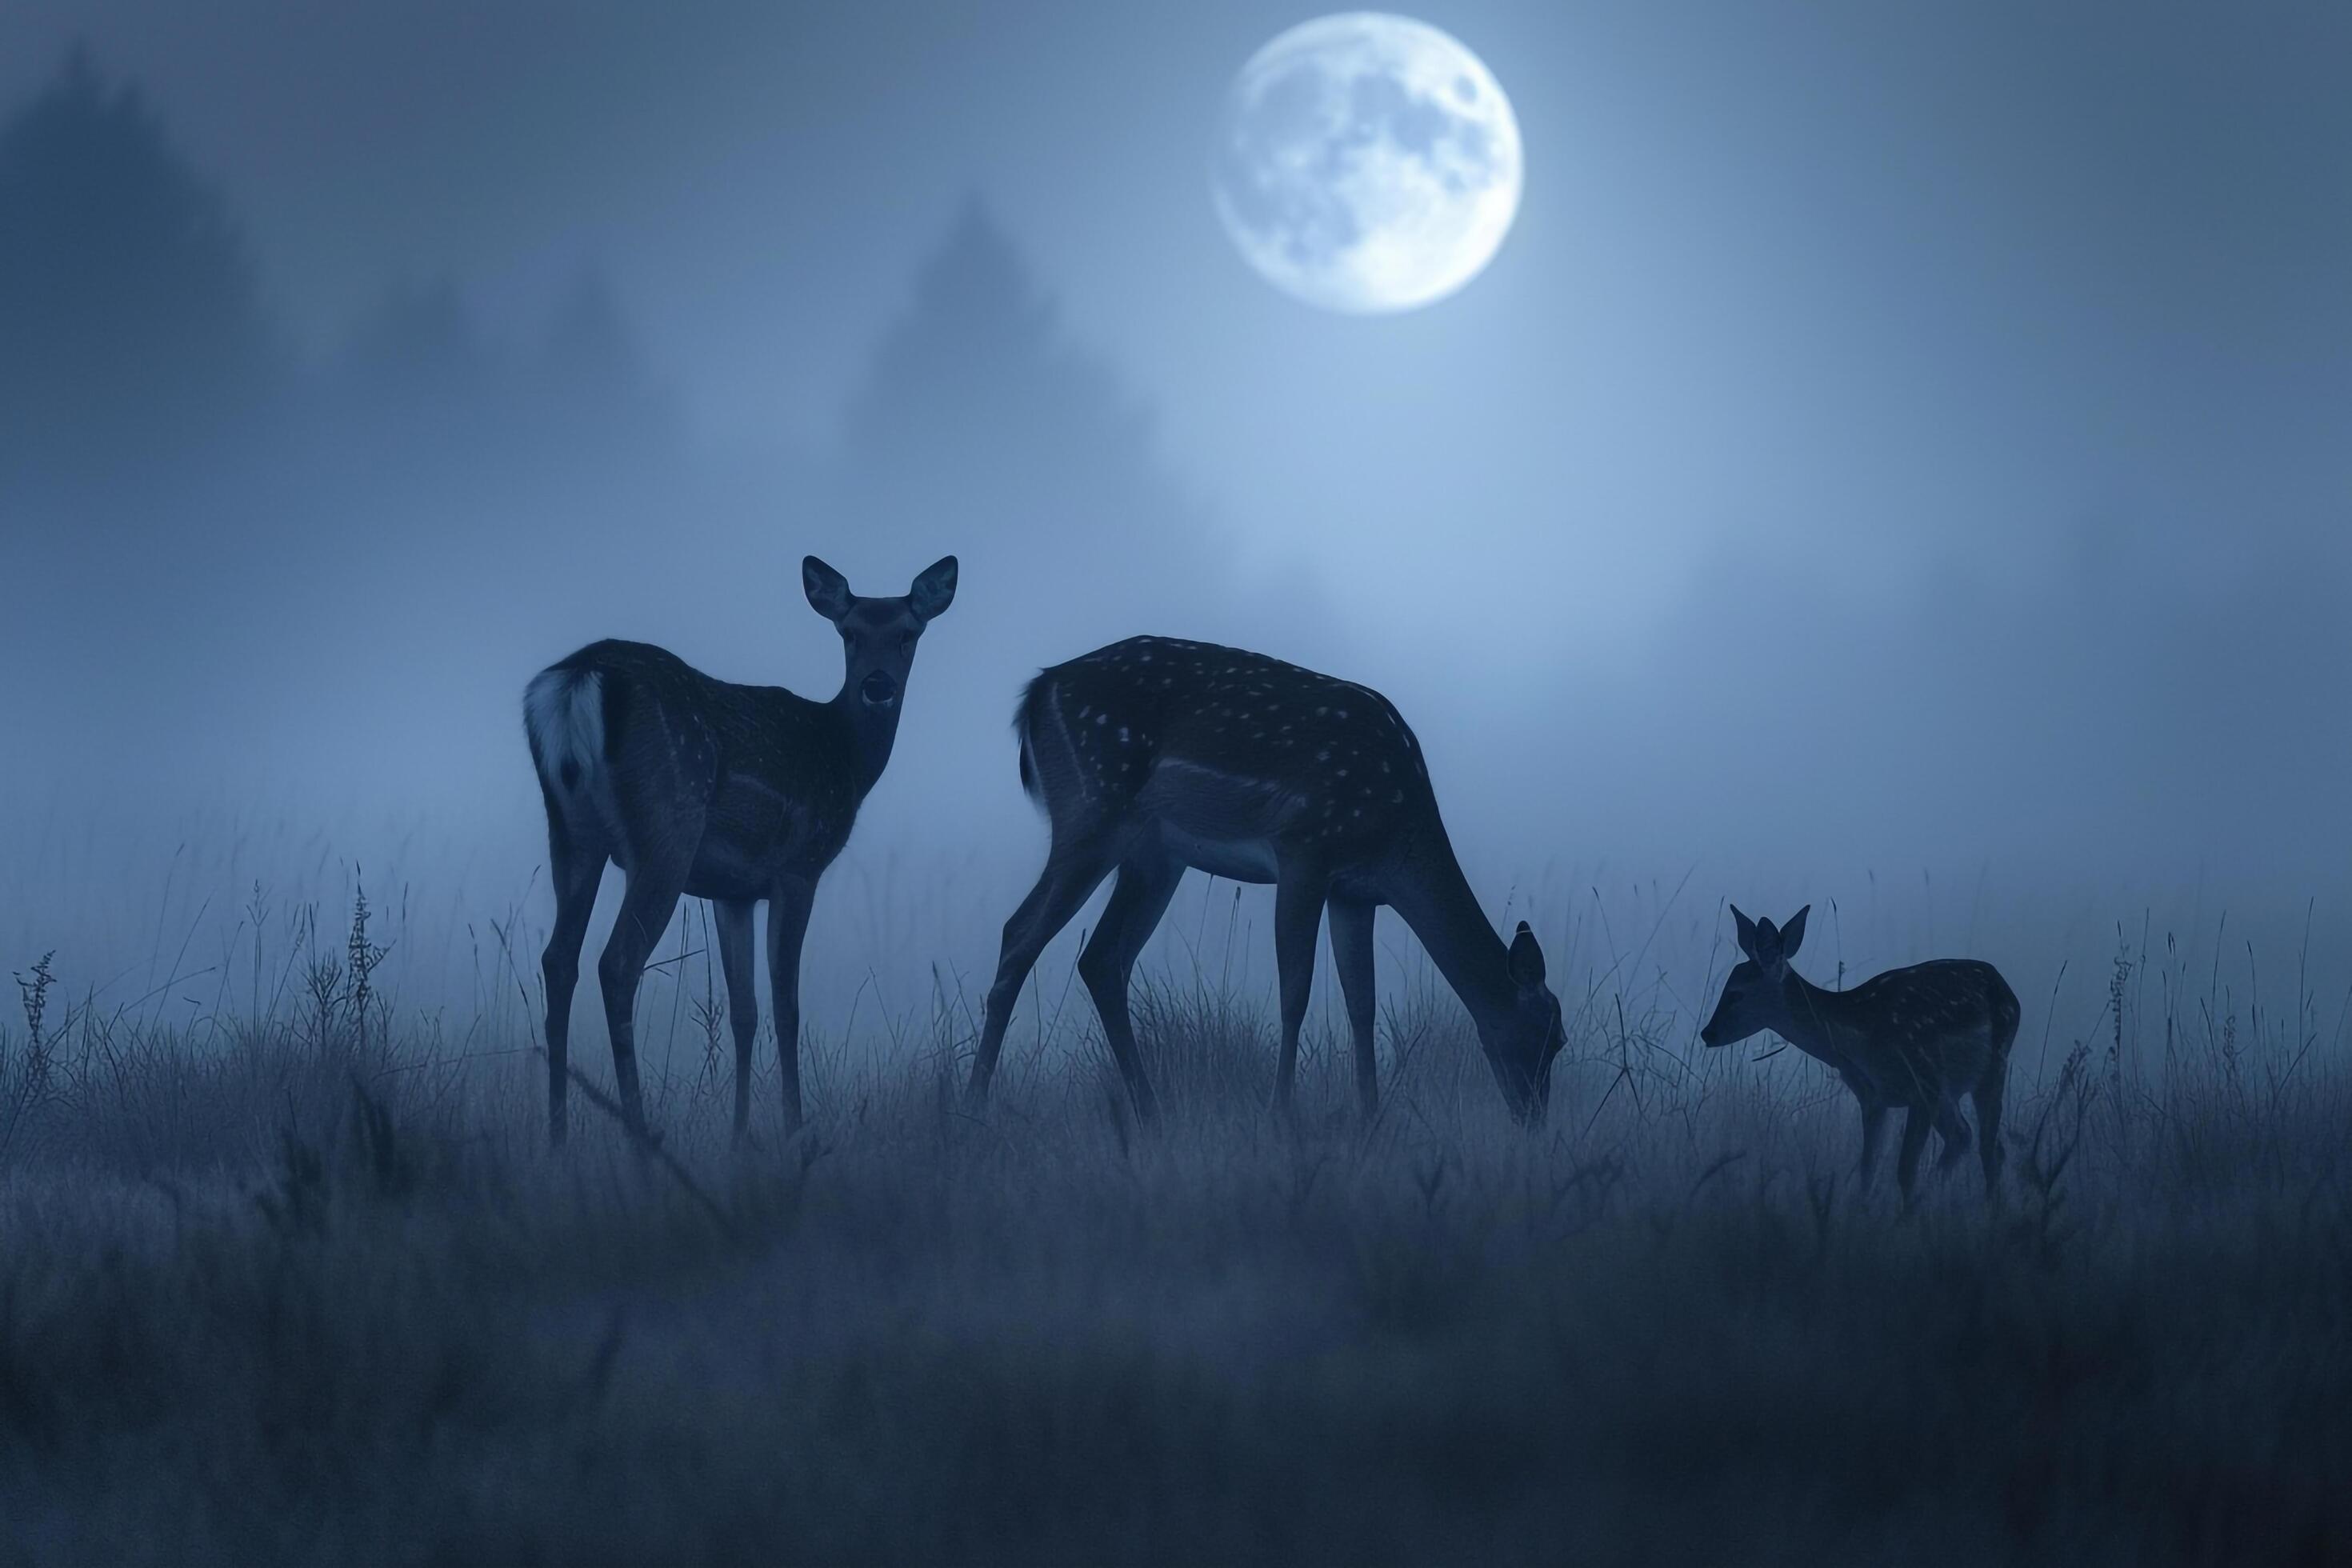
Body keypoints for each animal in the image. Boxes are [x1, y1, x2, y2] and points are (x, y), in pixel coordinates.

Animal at [529, 557, 959, 1147]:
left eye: (907, 634)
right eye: (849, 633)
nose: (878, 686)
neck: (846, 758)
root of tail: (577, 678)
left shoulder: (731, 891)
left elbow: (744, 1010)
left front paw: (738, 1138)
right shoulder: (799, 867)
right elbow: (786, 1004)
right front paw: (794, 1128)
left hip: (570, 833)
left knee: (558, 959)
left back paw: (557, 1141)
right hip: (668, 827)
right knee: (616, 964)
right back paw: (640, 1139)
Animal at [964, 639, 1570, 1128]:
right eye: (1553, 1037)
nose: (1535, 1121)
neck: (1396, 834)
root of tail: (1039, 690)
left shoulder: (1356, 892)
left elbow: (1362, 1002)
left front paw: (1371, 1115)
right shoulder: (1304, 847)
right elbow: (1295, 991)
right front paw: (1282, 1114)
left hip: (1154, 855)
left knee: (1101, 957)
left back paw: (1152, 1112)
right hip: (1093, 809)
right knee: (1020, 934)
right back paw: (977, 1107)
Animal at [1702, 902, 2013, 1213]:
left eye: (1736, 994)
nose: (1708, 1033)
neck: (1856, 1037)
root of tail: (2004, 986)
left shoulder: (1920, 1079)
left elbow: (1906, 1171)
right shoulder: (1872, 1097)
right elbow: (1868, 1168)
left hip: (1983, 1067)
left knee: (1969, 1138)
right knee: (1991, 1146)